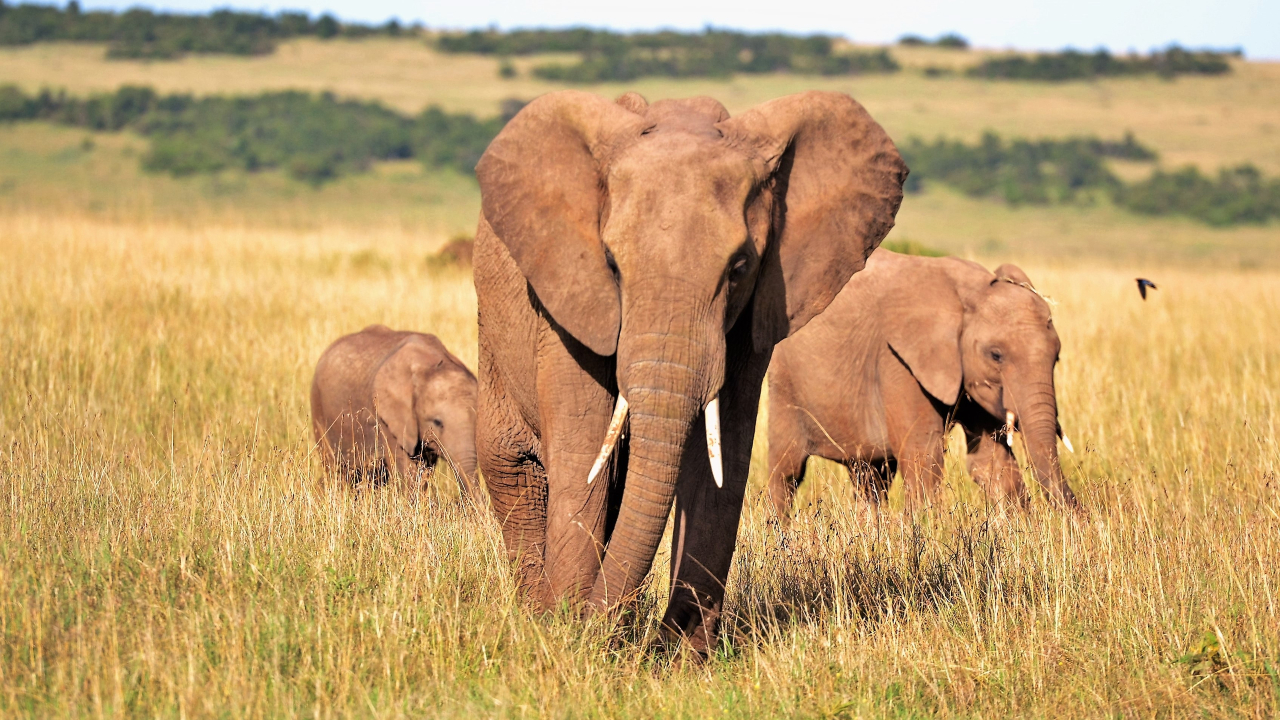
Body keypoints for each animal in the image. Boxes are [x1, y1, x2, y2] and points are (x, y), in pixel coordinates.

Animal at [311, 325, 481, 499]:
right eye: (437, 422)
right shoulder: (387, 418)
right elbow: (409, 471)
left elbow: (423, 471)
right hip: (318, 407)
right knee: (334, 470)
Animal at [476, 89, 906, 650]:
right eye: (611, 263)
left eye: (739, 267)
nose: (596, 624)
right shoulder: (568, 297)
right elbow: (583, 445)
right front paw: (567, 633)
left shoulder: (755, 311)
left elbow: (723, 455)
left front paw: (680, 653)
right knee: (515, 468)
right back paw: (535, 613)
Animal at [768, 248, 1080, 515]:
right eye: (996, 355)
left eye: (1057, 357)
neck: (970, 292)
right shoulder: (897, 360)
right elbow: (924, 457)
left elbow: (991, 462)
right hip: (784, 381)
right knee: (787, 472)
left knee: (871, 478)